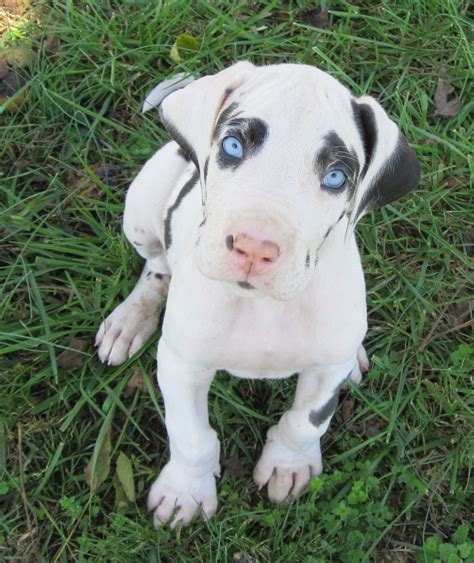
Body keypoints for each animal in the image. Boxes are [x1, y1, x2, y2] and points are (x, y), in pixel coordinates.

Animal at [94, 61, 420, 528]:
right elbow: (191, 435)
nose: (254, 248)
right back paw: (130, 319)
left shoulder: (325, 369)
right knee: (157, 264)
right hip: (142, 204)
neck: (263, 308)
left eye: (336, 176)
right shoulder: (182, 364)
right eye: (232, 146)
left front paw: (288, 464)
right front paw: (185, 491)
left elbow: (307, 421)